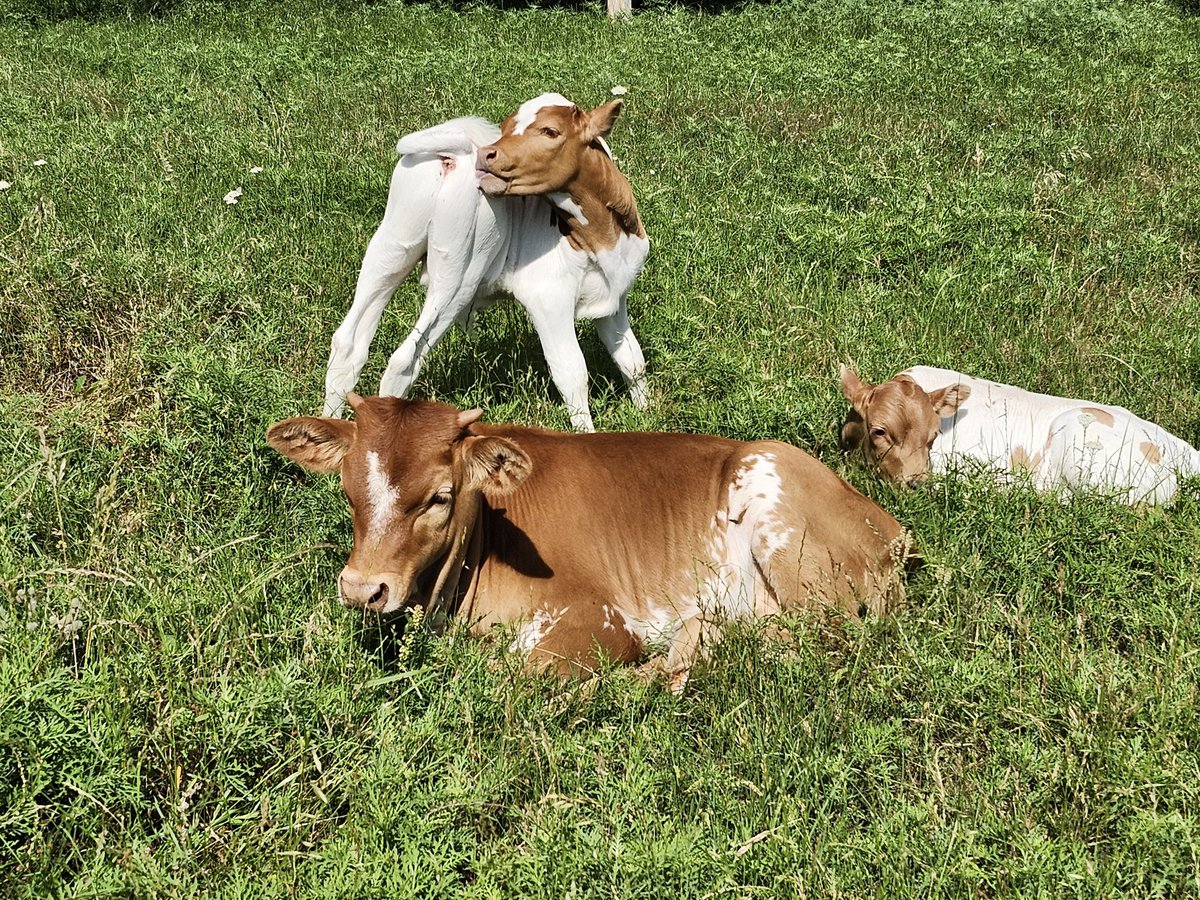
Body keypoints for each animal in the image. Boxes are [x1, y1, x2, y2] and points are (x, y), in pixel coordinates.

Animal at [267, 396, 912, 691]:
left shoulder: (600, 619)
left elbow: (514, 672)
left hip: (786, 530)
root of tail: (892, 528)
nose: (363, 588)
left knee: (819, 640)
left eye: (440, 497)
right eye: (348, 489)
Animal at [324, 93, 652, 432]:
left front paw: (647, 415)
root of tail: (453, 154)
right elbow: (571, 372)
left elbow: (632, 359)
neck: (603, 235)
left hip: (391, 245)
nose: (486, 155)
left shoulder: (614, 295)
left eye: (550, 131)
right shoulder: (549, 298)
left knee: (348, 345)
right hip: (458, 274)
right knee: (404, 361)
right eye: (505, 128)